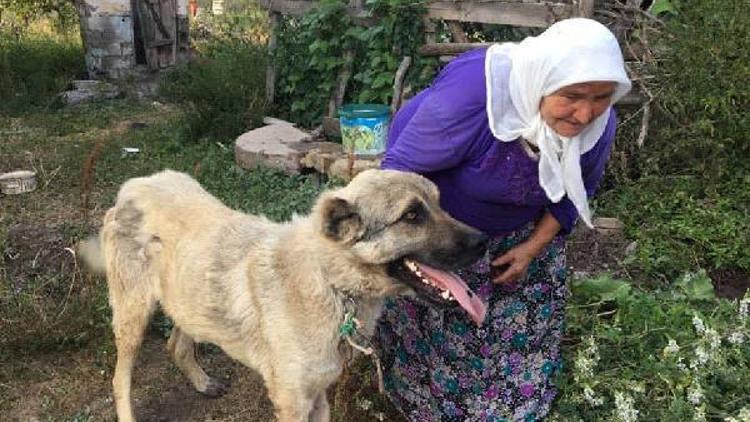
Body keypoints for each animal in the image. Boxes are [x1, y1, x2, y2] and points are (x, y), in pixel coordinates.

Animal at [82, 169, 490, 422]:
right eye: (411, 216)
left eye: (439, 203)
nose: (484, 241)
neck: (331, 279)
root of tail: (133, 187)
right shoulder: (293, 401)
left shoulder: (319, 396)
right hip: (133, 316)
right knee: (120, 380)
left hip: (189, 296)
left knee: (177, 344)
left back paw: (201, 381)